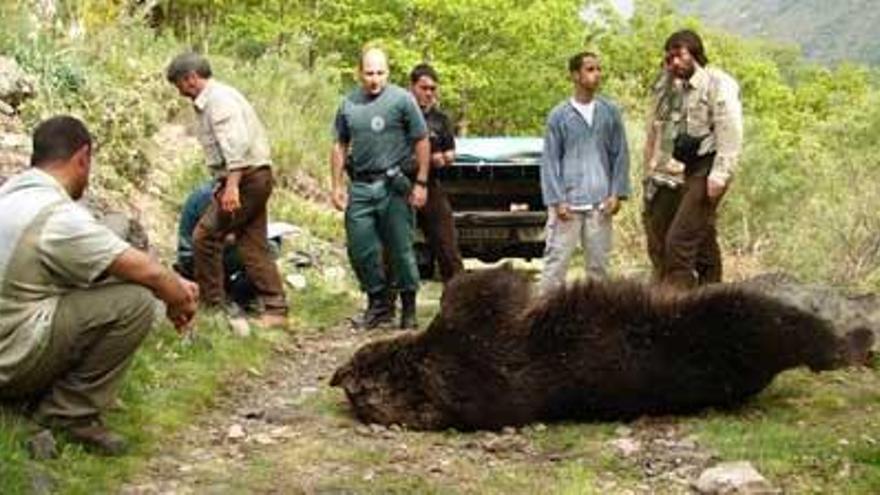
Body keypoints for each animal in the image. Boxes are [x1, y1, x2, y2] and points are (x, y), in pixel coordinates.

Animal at [332, 268, 872, 430]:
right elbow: (476, 294)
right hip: (726, 320)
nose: (346, 373)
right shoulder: (472, 355)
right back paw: (851, 337)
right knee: (785, 323)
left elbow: (467, 286)